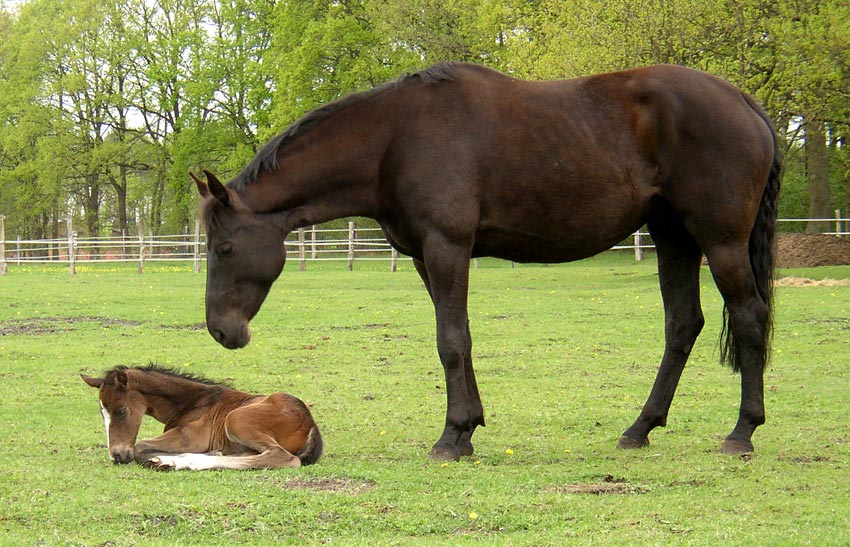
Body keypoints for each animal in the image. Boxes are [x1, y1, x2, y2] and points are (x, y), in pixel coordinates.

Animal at [81, 364, 320, 470]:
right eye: (102, 413)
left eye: (121, 411)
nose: (117, 455)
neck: (192, 401)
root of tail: (311, 425)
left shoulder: (190, 437)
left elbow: (140, 446)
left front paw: (159, 457)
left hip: (235, 419)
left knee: (283, 457)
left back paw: (179, 461)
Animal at [190, 61, 776, 462]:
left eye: (224, 248)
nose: (221, 331)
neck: (396, 139)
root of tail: (744, 101)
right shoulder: (427, 257)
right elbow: (460, 338)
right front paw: (468, 427)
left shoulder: (447, 246)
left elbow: (450, 340)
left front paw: (452, 437)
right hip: (673, 237)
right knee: (683, 324)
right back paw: (640, 428)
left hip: (720, 241)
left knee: (749, 317)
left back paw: (742, 432)